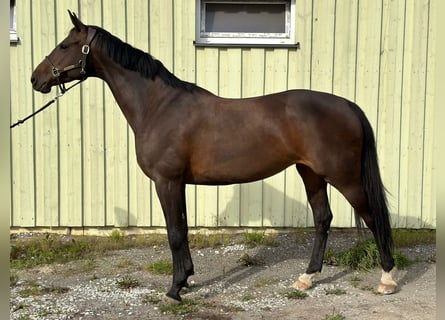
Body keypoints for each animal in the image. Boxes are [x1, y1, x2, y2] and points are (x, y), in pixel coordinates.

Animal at [31, 11, 398, 302]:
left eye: (64, 45)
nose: (36, 78)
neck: (159, 106)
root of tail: (348, 105)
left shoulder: (167, 181)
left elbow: (174, 233)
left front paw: (174, 289)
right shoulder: (177, 183)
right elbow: (181, 229)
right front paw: (186, 280)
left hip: (344, 177)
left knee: (372, 217)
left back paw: (387, 279)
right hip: (310, 173)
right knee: (323, 218)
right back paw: (306, 278)